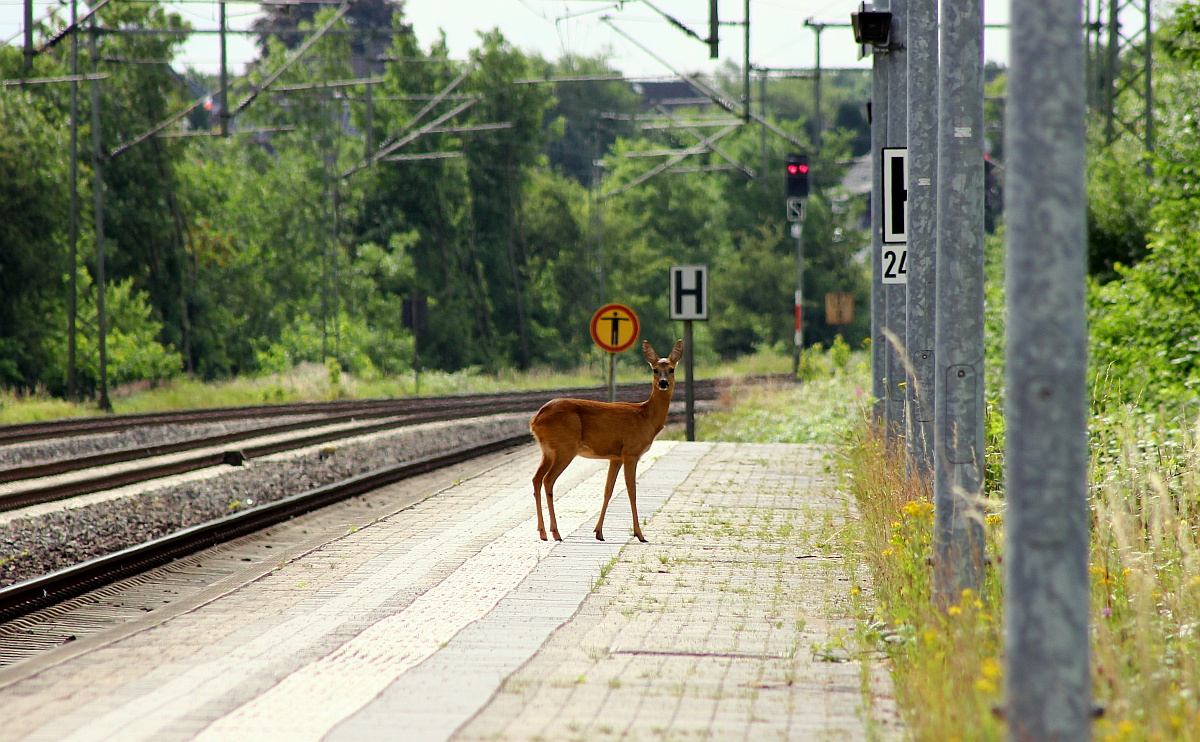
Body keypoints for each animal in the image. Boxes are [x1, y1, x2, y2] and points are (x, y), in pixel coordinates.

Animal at [532, 338, 691, 540]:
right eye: (655, 369)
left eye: (671, 369)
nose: (663, 383)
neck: (646, 417)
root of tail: (535, 420)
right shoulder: (631, 452)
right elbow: (631, 490)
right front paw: (639, 533)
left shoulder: (615, 457)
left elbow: (608, 490)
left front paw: (599, 531)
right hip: (565, 448)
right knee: (548, 480)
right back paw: (555, 532)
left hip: (548, 451)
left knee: (536, 479)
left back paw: (543, 532)